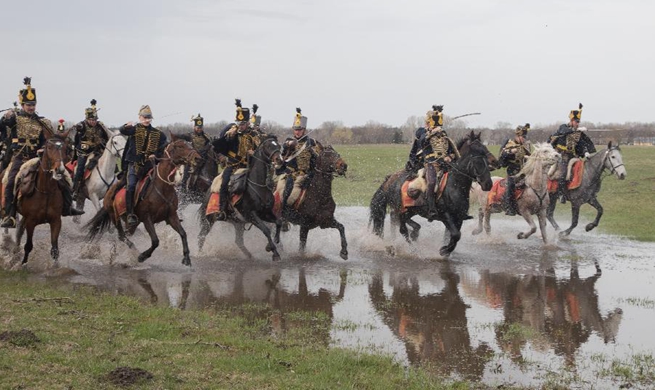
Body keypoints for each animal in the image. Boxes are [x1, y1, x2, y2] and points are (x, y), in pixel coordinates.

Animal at [11, 134, 72, 266]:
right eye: (49, 147)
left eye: (65, 148)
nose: (59, 170)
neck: (46, 192)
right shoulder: (31, 221)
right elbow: (28, 245)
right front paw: (23, 265)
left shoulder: (56, 221)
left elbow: (55, 249)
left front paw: (55, 266)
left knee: (19, 231)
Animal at [86, 136, 202, 266]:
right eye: (180, 146)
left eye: (191, 145)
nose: (197, 158)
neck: (162, 186)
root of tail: (109, 192)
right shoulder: (147, 218)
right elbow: (155, 241)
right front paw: (142, 256)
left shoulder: (172, 216)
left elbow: (183, 233)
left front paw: (186, 257)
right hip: (114, 216)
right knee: (121, 236)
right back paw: (130, 251)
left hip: (132, 223)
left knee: (125, 235)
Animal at [368, 131, 498, 258]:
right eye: (478, 161)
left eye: (485, 147)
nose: (488, 184)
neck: (454, 185)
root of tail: (390, 180)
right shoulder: (445, 215)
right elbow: (456, 235)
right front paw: (444, 250)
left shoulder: (458, 217)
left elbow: (453, 237)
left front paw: (447, 250)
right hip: (399, 210)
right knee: (401, 228)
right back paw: (411, 249)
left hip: (410, 210)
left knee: (404, 225)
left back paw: (411, 236)